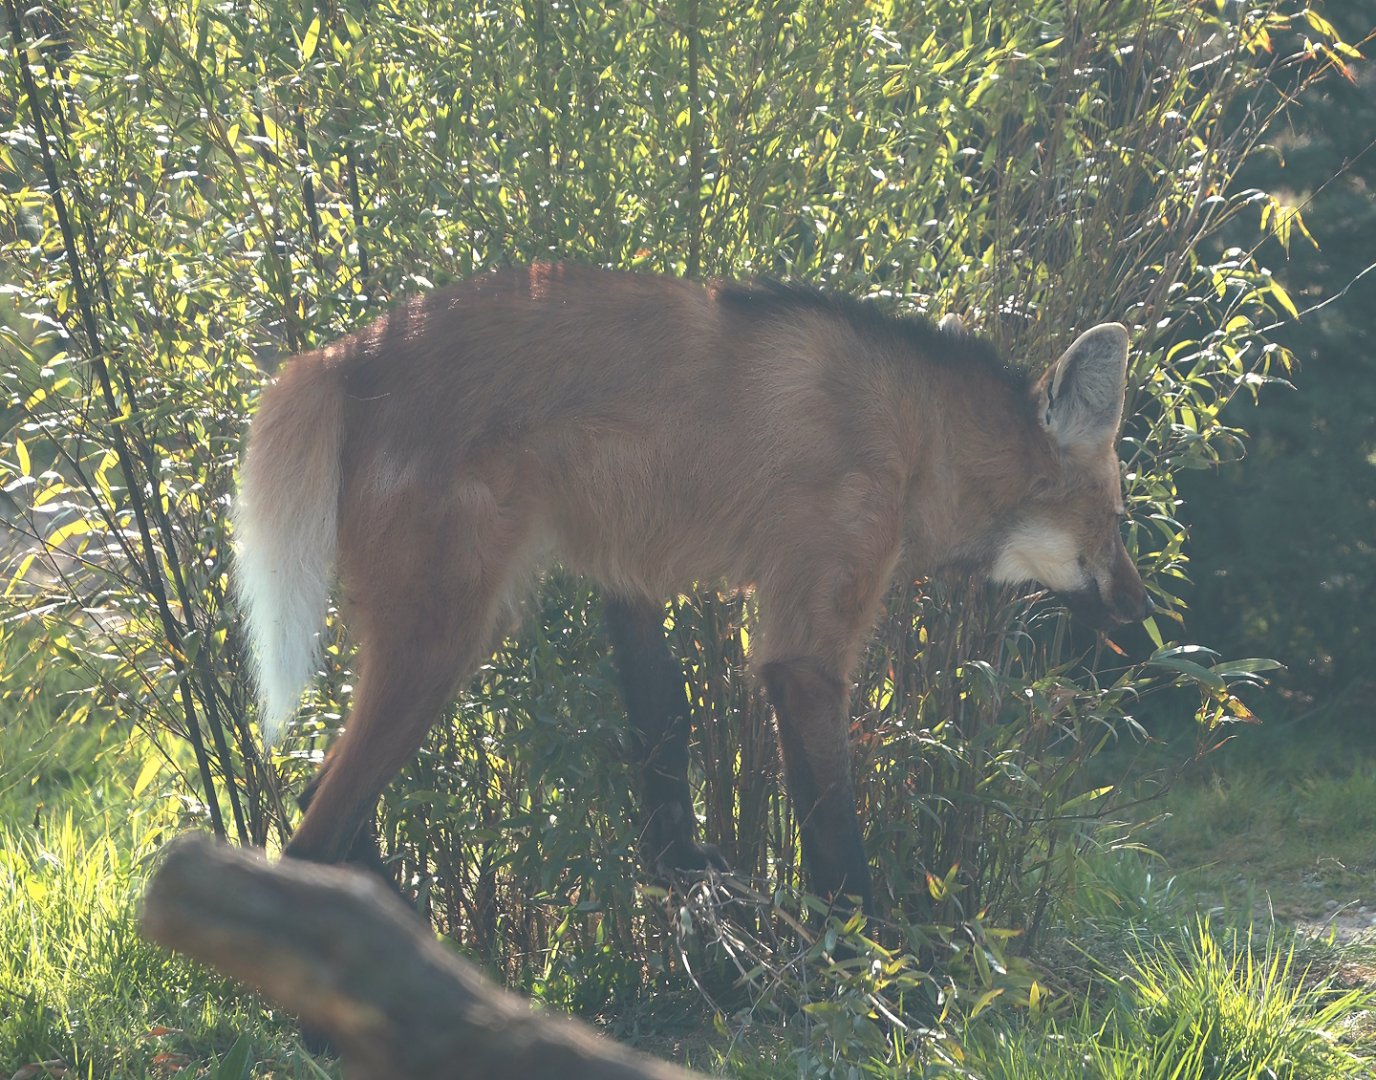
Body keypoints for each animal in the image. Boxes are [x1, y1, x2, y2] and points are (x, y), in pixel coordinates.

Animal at [233, 263, 1152, 912]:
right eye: (1118, 520)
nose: (1144, 614)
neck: (918, 431)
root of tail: (341, 355)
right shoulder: (807, 642)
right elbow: (833, 829)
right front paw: (871, 958)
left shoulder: (628, 568)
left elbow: (665, 726)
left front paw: (685, 867)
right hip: (445, 635)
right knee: (313, 831)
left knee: (319, 796)